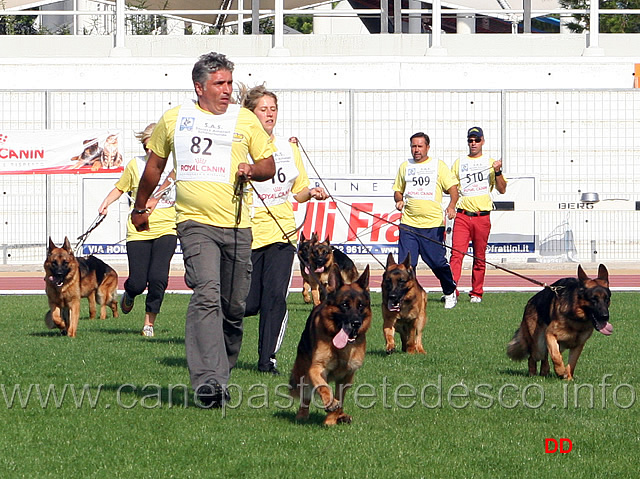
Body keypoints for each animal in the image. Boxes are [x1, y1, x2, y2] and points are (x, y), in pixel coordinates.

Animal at [288, 264, 372, 426]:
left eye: (360, 306)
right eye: (344, 305)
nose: (356, 323)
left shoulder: (346, 377)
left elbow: (339, 398)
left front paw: (331, 419)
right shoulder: (316, 368)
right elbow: (324, 387)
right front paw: (329, 403)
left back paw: (342, 416)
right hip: (304, 375)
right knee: (306, 397)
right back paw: (302, 415)